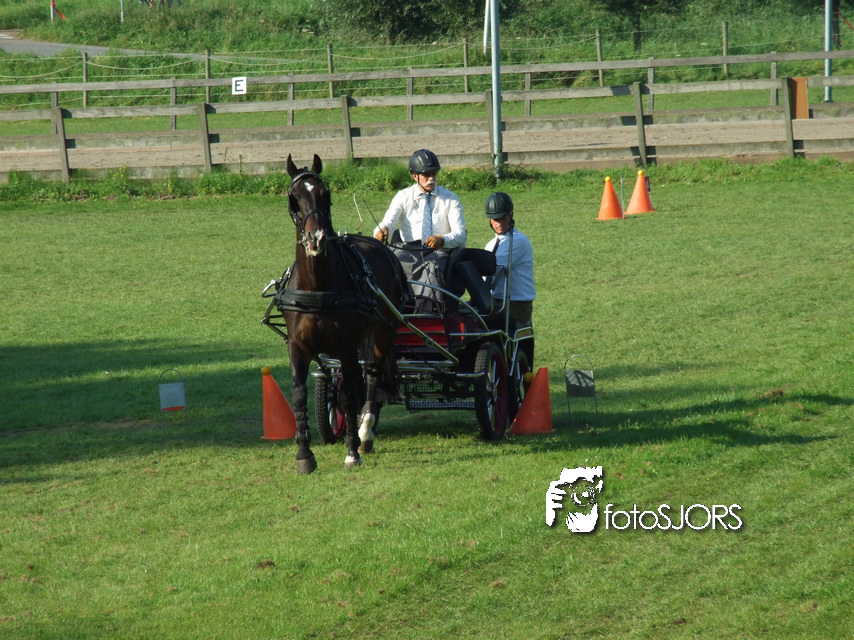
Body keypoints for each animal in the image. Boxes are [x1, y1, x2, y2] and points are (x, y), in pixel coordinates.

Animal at [275, 154, 409, 474]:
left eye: (326, 194)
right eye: (294, 198)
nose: (317, 239)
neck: (317, 286)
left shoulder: (346, 346)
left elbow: (348, 395)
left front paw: (351, 452)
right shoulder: (297, 346)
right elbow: (298, 393)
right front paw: (304, 455)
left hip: (382, 332)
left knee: (370, 376)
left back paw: (365, 433)